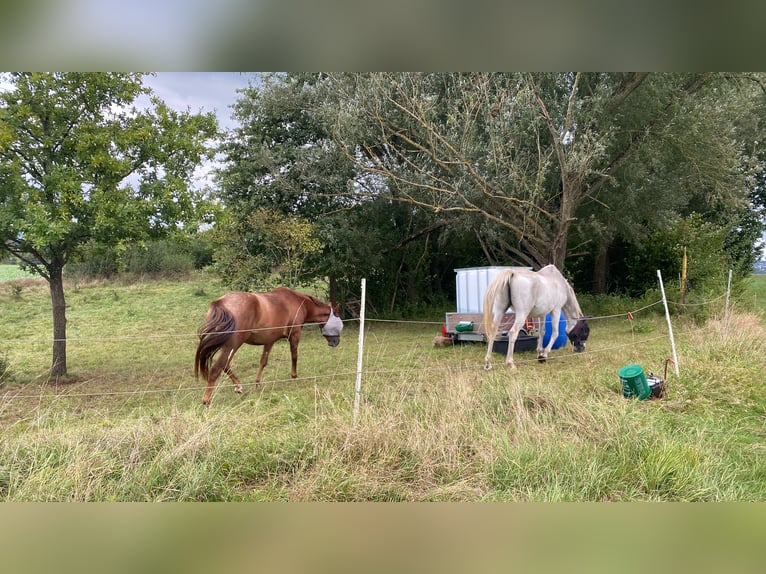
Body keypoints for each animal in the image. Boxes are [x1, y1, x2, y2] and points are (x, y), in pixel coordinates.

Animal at [195, 290, 344, 408]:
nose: (335, 342)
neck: (298, 302)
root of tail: (220, 303)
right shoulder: (295, 335)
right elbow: (294, 356)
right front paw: (294, 376)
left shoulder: (269, 341)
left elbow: (263, 361)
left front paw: (257, 384)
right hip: (233, 345)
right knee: (217, 368)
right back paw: (207, 400)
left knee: (225, 365)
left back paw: (238, 386)